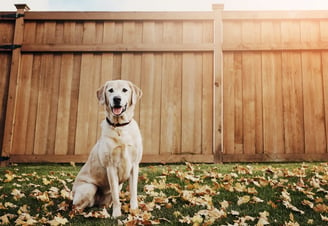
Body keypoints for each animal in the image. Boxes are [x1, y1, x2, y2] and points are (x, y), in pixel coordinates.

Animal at [72, 79, 142, 217]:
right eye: (111, 90)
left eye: (124, 90)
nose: (117, 99)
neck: (120, 127)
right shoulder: (111, 167)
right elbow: (115, 196)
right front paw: (116, 214)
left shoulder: (134, 166)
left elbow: (133, 192)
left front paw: (134, 210)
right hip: (89, 188)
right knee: (76, 207)